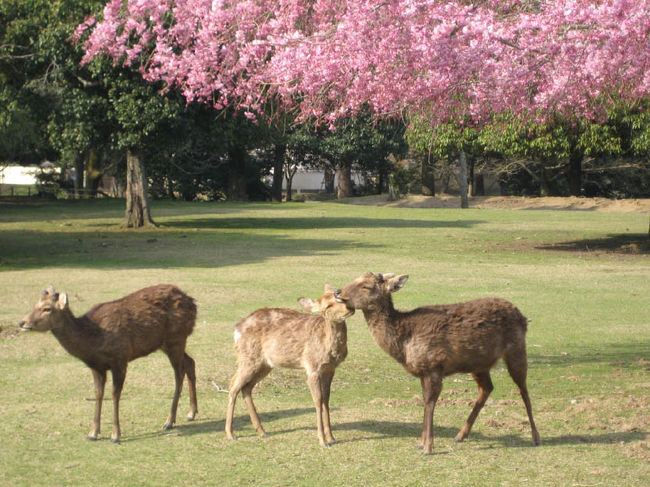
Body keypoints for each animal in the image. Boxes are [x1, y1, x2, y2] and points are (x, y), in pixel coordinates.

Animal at [19, 284, 197, 444]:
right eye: (35, 304)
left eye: (47, 309)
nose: (22, 322)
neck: (92, 342)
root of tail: (193, 303)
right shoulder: (97, 367)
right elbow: (98, 394)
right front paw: (92, 433)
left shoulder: (120, 359)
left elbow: (114, 394)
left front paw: (115, 435)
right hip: (167, 344)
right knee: (190, 362)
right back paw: (191, 413)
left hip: (176, 339)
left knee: (179, 374)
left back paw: (169, 421)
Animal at [224, 284, 354, 448]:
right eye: (327, 306)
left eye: (342, 298)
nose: (350, 308)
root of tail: (236, 330)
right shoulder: (312, 366)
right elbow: (318, 400)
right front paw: (322, 441)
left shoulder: (330, 369)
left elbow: (326, 399)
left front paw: (332, 437)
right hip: (248, 358)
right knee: (233, 385)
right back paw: (230, 434)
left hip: (264, 364)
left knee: (246, 387)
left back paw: (262, 432)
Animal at [336, 272, 540, 456]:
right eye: (356, 277)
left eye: (366, 286)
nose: (338, 292)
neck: (404, 344)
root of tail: (523, 316)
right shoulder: (422, 371)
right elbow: (425, 401)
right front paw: (421, 443)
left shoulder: (433, 366)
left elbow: (430, 402)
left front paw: (428, 447)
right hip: (479, 363)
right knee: (487, 388)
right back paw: (460, 435)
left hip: (516, 350)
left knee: (523, 389)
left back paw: (535, 437)